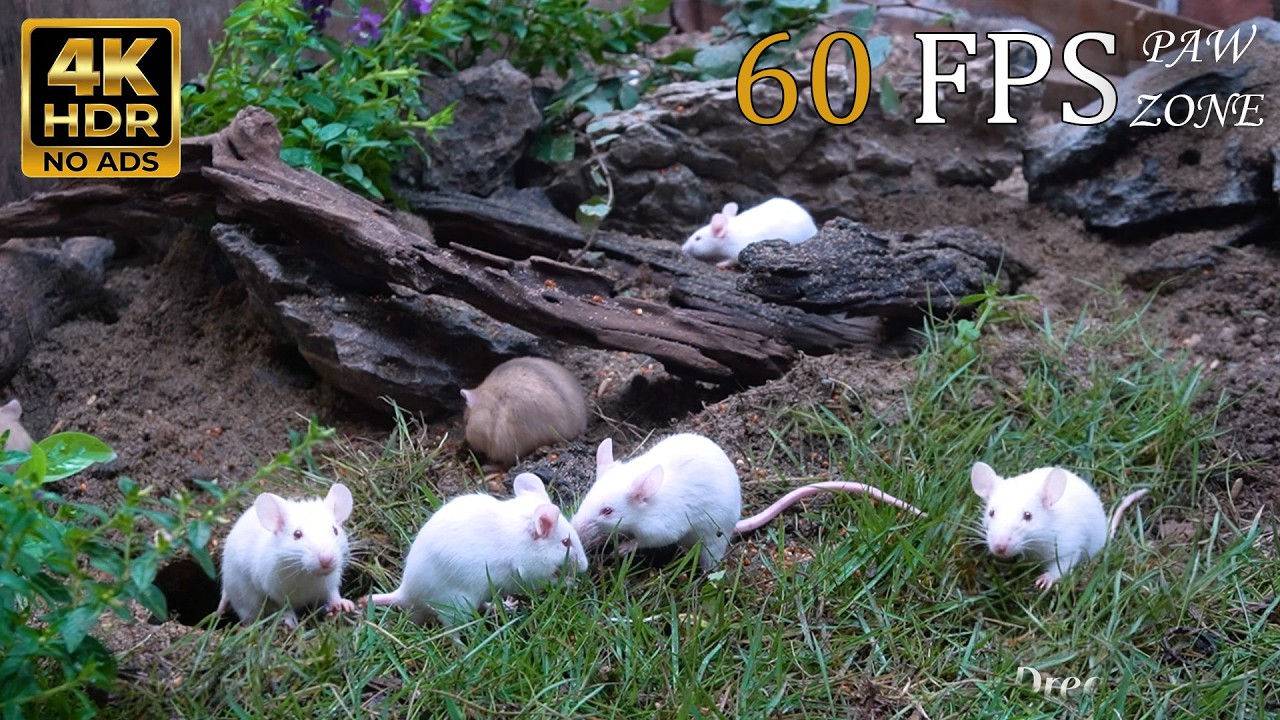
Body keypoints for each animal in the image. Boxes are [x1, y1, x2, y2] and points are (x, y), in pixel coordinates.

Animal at [216, 483, 356, 627]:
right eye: (297, 534)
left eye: (335, 530)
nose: (327, 560)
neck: (306, 575)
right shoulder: (276, 591)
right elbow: (284, 606)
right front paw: (290, 622)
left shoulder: (331, 582)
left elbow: (333, 594)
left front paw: (344, 605)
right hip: (243, 599)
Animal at [370, 473, 589, 627]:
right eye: (566, 543)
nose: (586, 568)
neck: (524, 537)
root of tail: (405, 593)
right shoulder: (529, 574)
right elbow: (550, 582)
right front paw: (570, 582)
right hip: (457, 605)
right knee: (452, 632)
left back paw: (505, 607)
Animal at [571, 434, 926, 572]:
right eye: (587, 499)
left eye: (607, 511)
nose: (573, 527)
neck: (648, 504)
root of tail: (736, 522)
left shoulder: (663, 526)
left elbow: (647, 540)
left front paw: (622, 548)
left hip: (711, 539)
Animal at [681, 198, 819, 268]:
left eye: (698, 238)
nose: (682, 249)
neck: (728, 235)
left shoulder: (736, 251)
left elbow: (731, 260)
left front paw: (720, 263)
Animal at [970, 461, 1150, 590]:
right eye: (991, 513)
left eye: (1028, 516)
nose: (999, 548)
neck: (1034, 544)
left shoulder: (1067, 543)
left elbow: (1063, 564)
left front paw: (1046, 580)